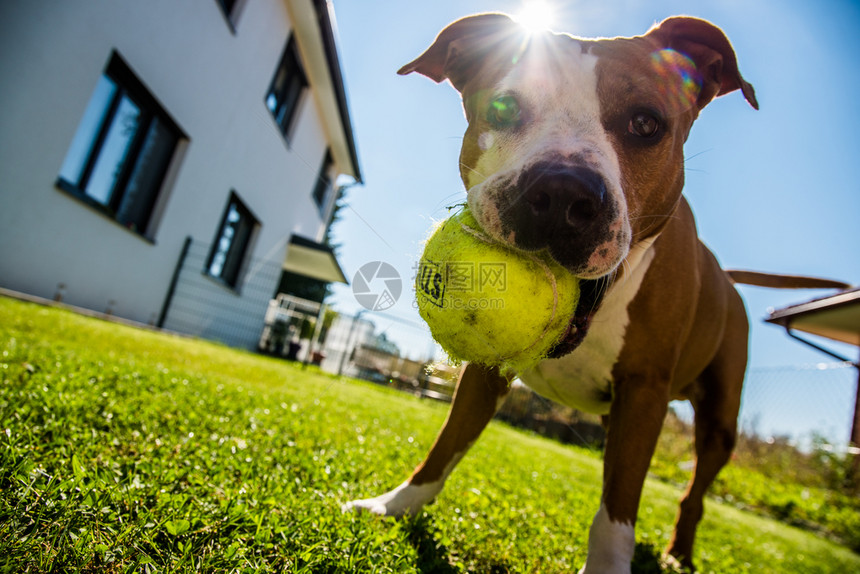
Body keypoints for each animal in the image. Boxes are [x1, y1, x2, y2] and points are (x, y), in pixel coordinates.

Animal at [342, 14, 848, 574]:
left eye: (646, 123)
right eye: (504, 107)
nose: (562, 192)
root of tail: (726, 277)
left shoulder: (644, 390)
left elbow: (619, 504)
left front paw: (607, 564)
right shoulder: (486, 371)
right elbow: (447, 442)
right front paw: (397, 504)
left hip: (719, 422)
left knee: (693, 492)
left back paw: (678, 552)